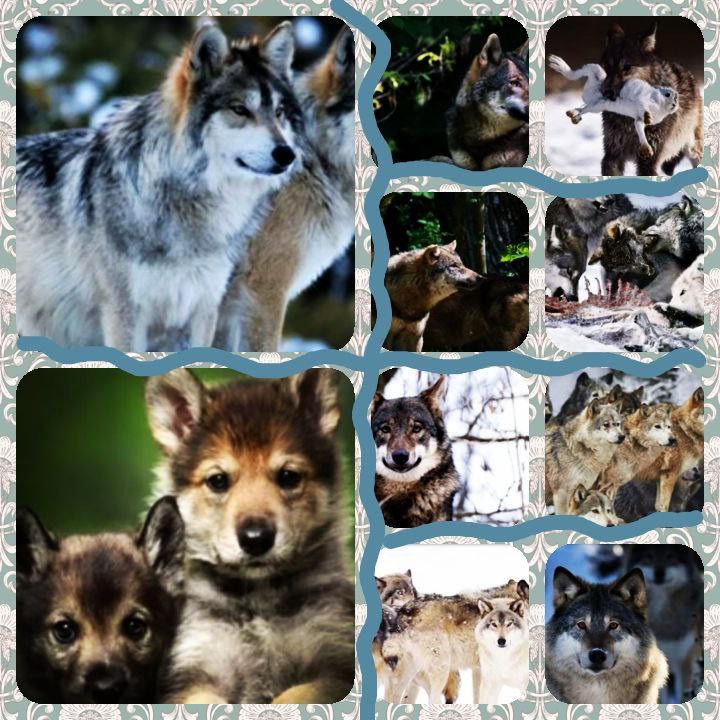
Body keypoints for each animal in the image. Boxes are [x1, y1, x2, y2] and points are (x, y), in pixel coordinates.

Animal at [145, 369, 354, 703]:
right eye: (218, 481)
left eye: (288, 477)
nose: (256, 539)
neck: (259, 602)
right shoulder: (194, 672)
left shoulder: (333, 661)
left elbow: (293, 697)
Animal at [548, 54, 678, 157]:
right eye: (667, 94)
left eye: (676, 97)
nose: (674, 104)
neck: (658, 103)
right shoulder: (640, 94)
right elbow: (641, 102)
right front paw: (647, 115)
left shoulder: (638, 120)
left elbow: (640, 130)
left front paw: (648, 151)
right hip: (595, 84)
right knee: (577, 77)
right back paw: (555, 62)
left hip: (596, 106)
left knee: (583, 108)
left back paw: (573, 116)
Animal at [599, 23, 703, 176]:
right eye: (606, 66)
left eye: (627, 67)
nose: (607, 93)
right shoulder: (612, 156)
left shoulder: (648, 162)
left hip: (693, 149)